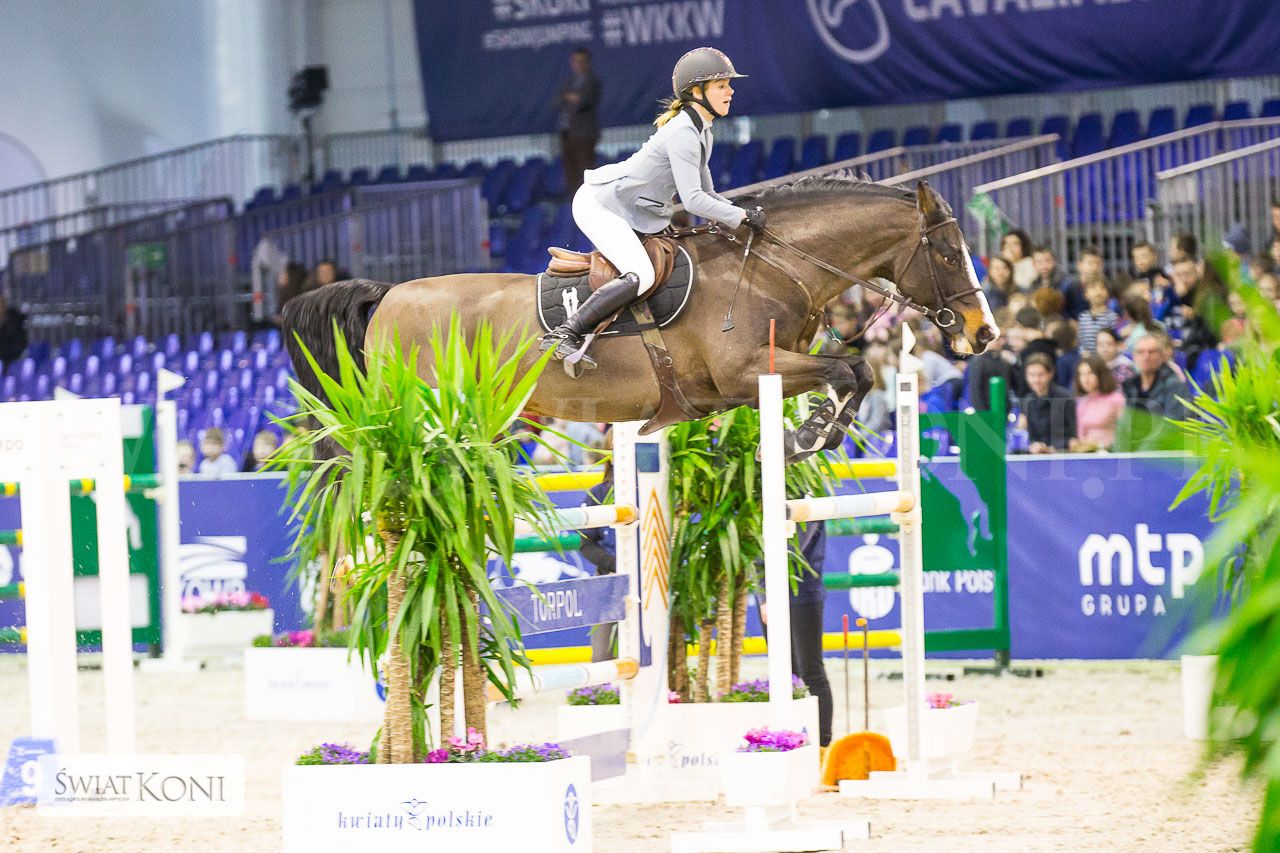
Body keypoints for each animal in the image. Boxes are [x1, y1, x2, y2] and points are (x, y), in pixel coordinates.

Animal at [283, 176, 998, 462]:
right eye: (947, 252)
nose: (984, 332)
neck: (773, 267)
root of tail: (388, 296)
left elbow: (856, 373)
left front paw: (814, 432)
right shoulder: (746, 374)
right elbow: (848, 369)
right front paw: (807, 436)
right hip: (420, 405)